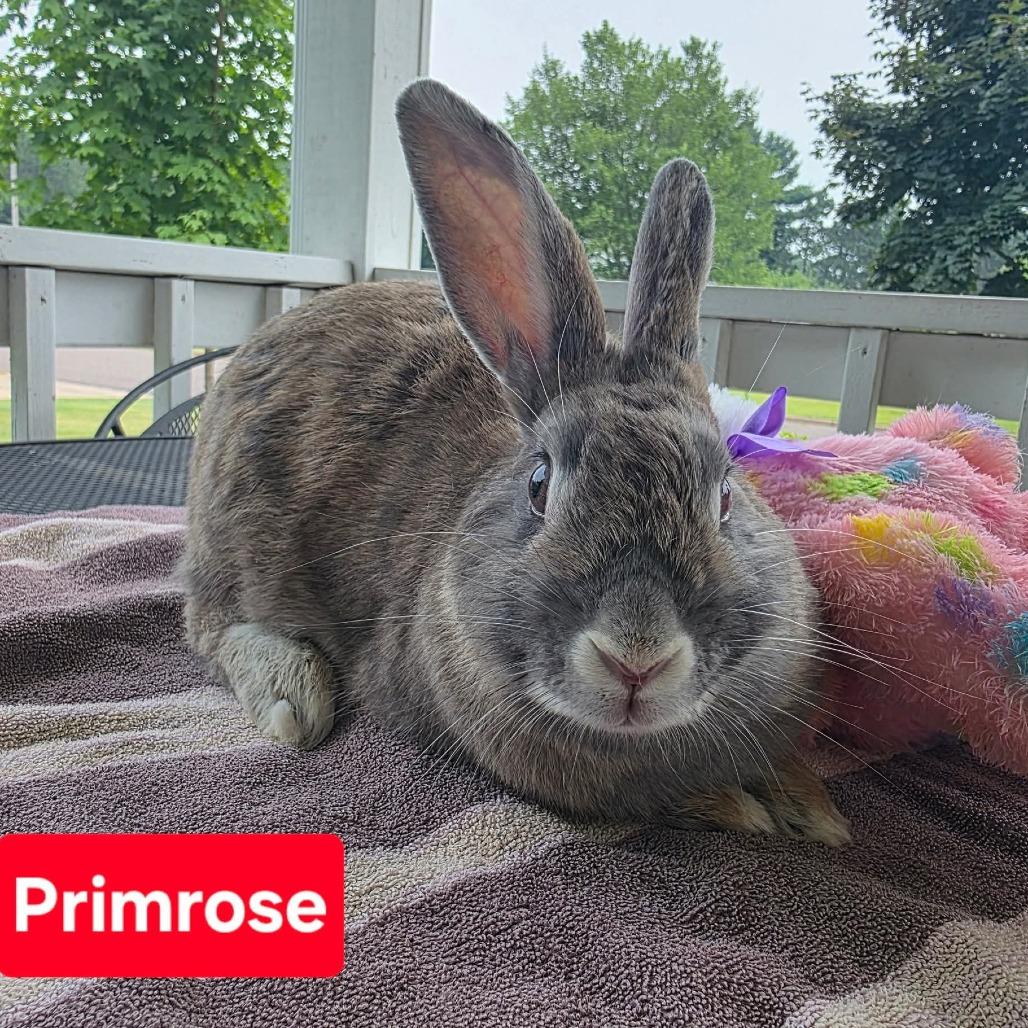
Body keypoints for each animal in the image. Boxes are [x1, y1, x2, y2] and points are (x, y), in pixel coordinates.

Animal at [183, 78, 850, 846]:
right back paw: (291, 697)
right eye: (539, 485)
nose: (637, 658)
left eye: (726, 497)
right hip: (238, 546)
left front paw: (815, 810)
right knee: (212, 626)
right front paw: (741, 807)